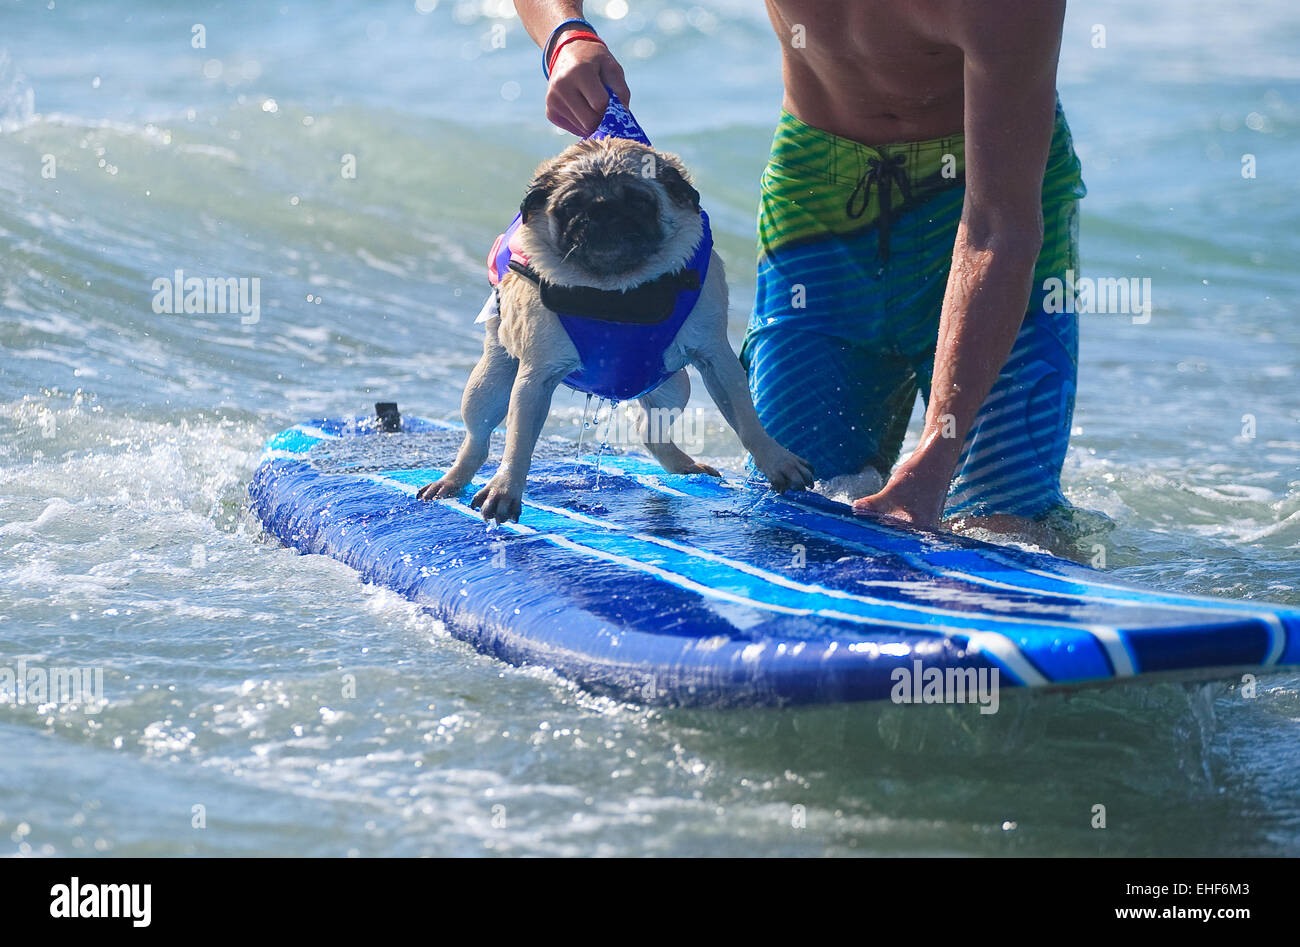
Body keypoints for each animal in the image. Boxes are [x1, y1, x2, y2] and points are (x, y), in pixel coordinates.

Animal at [418, 137, 811, 525]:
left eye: (639, 201)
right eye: (571, 205)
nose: (603, 211)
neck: (616, 292)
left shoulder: (717, 360)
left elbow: (747, 420)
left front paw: (776, 460)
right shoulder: (534, 378)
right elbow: (518, 441)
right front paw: (505, 488)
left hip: (674, 389)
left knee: (650, 431)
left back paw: (683, 466)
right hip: (490, 383)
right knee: (478, 437)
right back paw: (451, 480)